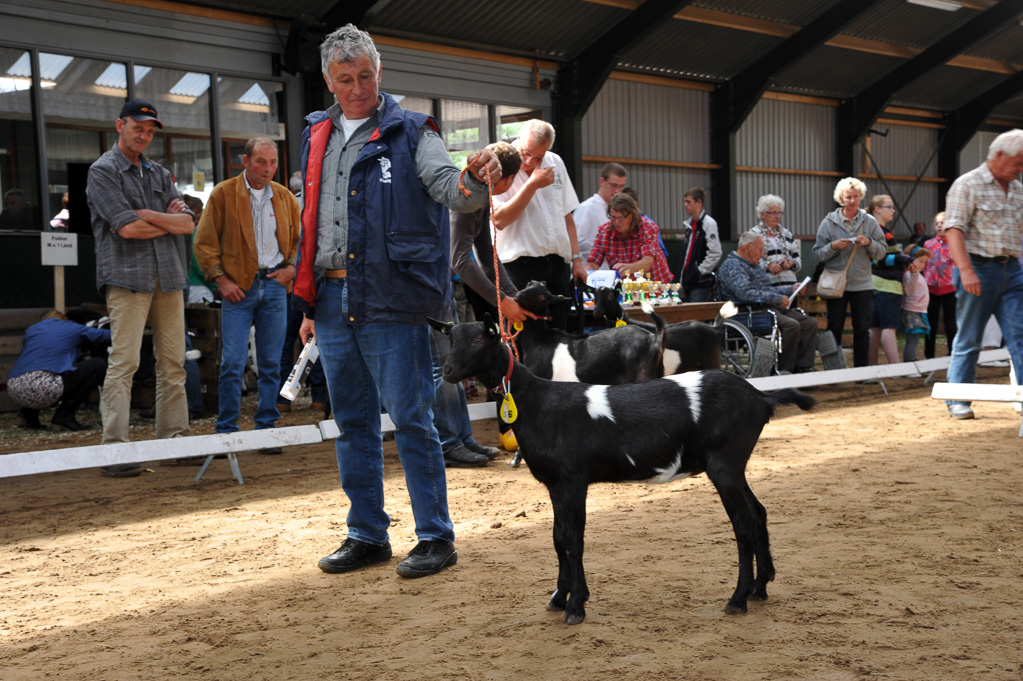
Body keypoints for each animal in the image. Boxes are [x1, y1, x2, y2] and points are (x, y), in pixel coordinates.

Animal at [429, 312, 814, 621]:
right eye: (450, 338)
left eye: (479, 339)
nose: (448, 371)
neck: (535, 401)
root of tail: (761, 398)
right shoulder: (555, 484)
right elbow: (557, 538)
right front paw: (559, 596)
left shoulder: (573, 480)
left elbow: (573, 539)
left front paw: (576, 605)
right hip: (735, 464)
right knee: (758, 512)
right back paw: (760, 586)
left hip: (725, 462)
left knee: (743, 523)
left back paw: (738, 598)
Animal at [515, 280, 666, 384]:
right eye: (529, 283)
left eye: (542, 296)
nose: (518, 295)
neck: (539, 338)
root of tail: (654, 337)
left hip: (642, 375)